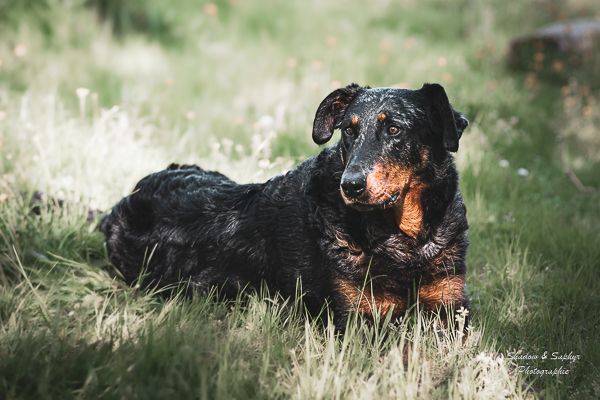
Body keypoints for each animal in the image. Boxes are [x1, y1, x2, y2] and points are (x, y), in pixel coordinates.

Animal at [101, 83, 472, 330]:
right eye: (348, 132)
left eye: (394, 129)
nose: (350, 186)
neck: (405, 238)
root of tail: (122, 203)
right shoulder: (358, 318)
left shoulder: (453, 306)